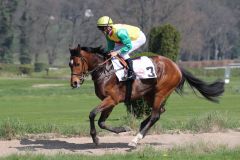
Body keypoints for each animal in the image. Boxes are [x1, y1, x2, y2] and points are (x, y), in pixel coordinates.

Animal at [68, 44, 225, 147]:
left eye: (77, 63)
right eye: (69, 64)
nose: (74, 83)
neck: (106, 71)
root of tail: (176, 66)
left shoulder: (112, 99)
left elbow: (92, 114)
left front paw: (95, 138)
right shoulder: (110, 101)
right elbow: (101, 122)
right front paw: (123, 129)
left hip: (161, 92)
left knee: (156, 115)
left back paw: (135, 140)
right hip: (150, 94)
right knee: (160, 111)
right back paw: (142, 126)